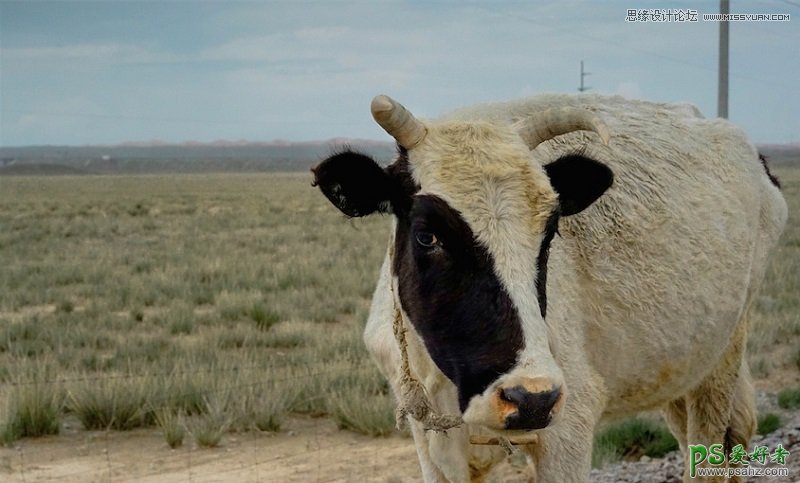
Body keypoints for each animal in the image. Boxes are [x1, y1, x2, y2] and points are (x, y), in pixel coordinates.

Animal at [310, 94, 788, 483]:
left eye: (550, 231)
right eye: (428, 236)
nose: (530, 399)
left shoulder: (568, 430)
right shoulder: (431, 445)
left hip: (722, 359)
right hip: (679, 366)